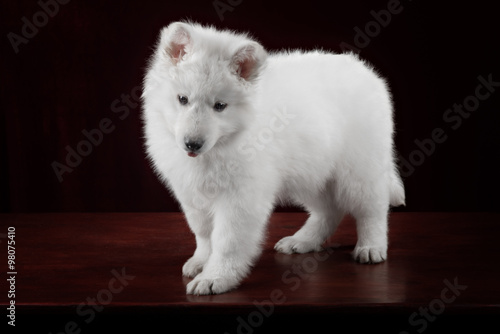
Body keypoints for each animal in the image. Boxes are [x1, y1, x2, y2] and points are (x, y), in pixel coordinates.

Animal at [142, 21, 406, 294]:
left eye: (220, 106)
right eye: (182, 99)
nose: (192, 144)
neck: (226, 142)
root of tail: (365, 71)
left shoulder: (241, 197)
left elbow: (227, 240)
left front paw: (216, 277)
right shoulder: (191, 191)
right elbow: (204, 232)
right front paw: (201, 261)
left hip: (358, 168)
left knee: (371, 208)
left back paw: (371, 247)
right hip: (312, 170)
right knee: (329, 210)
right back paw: (303, 240)